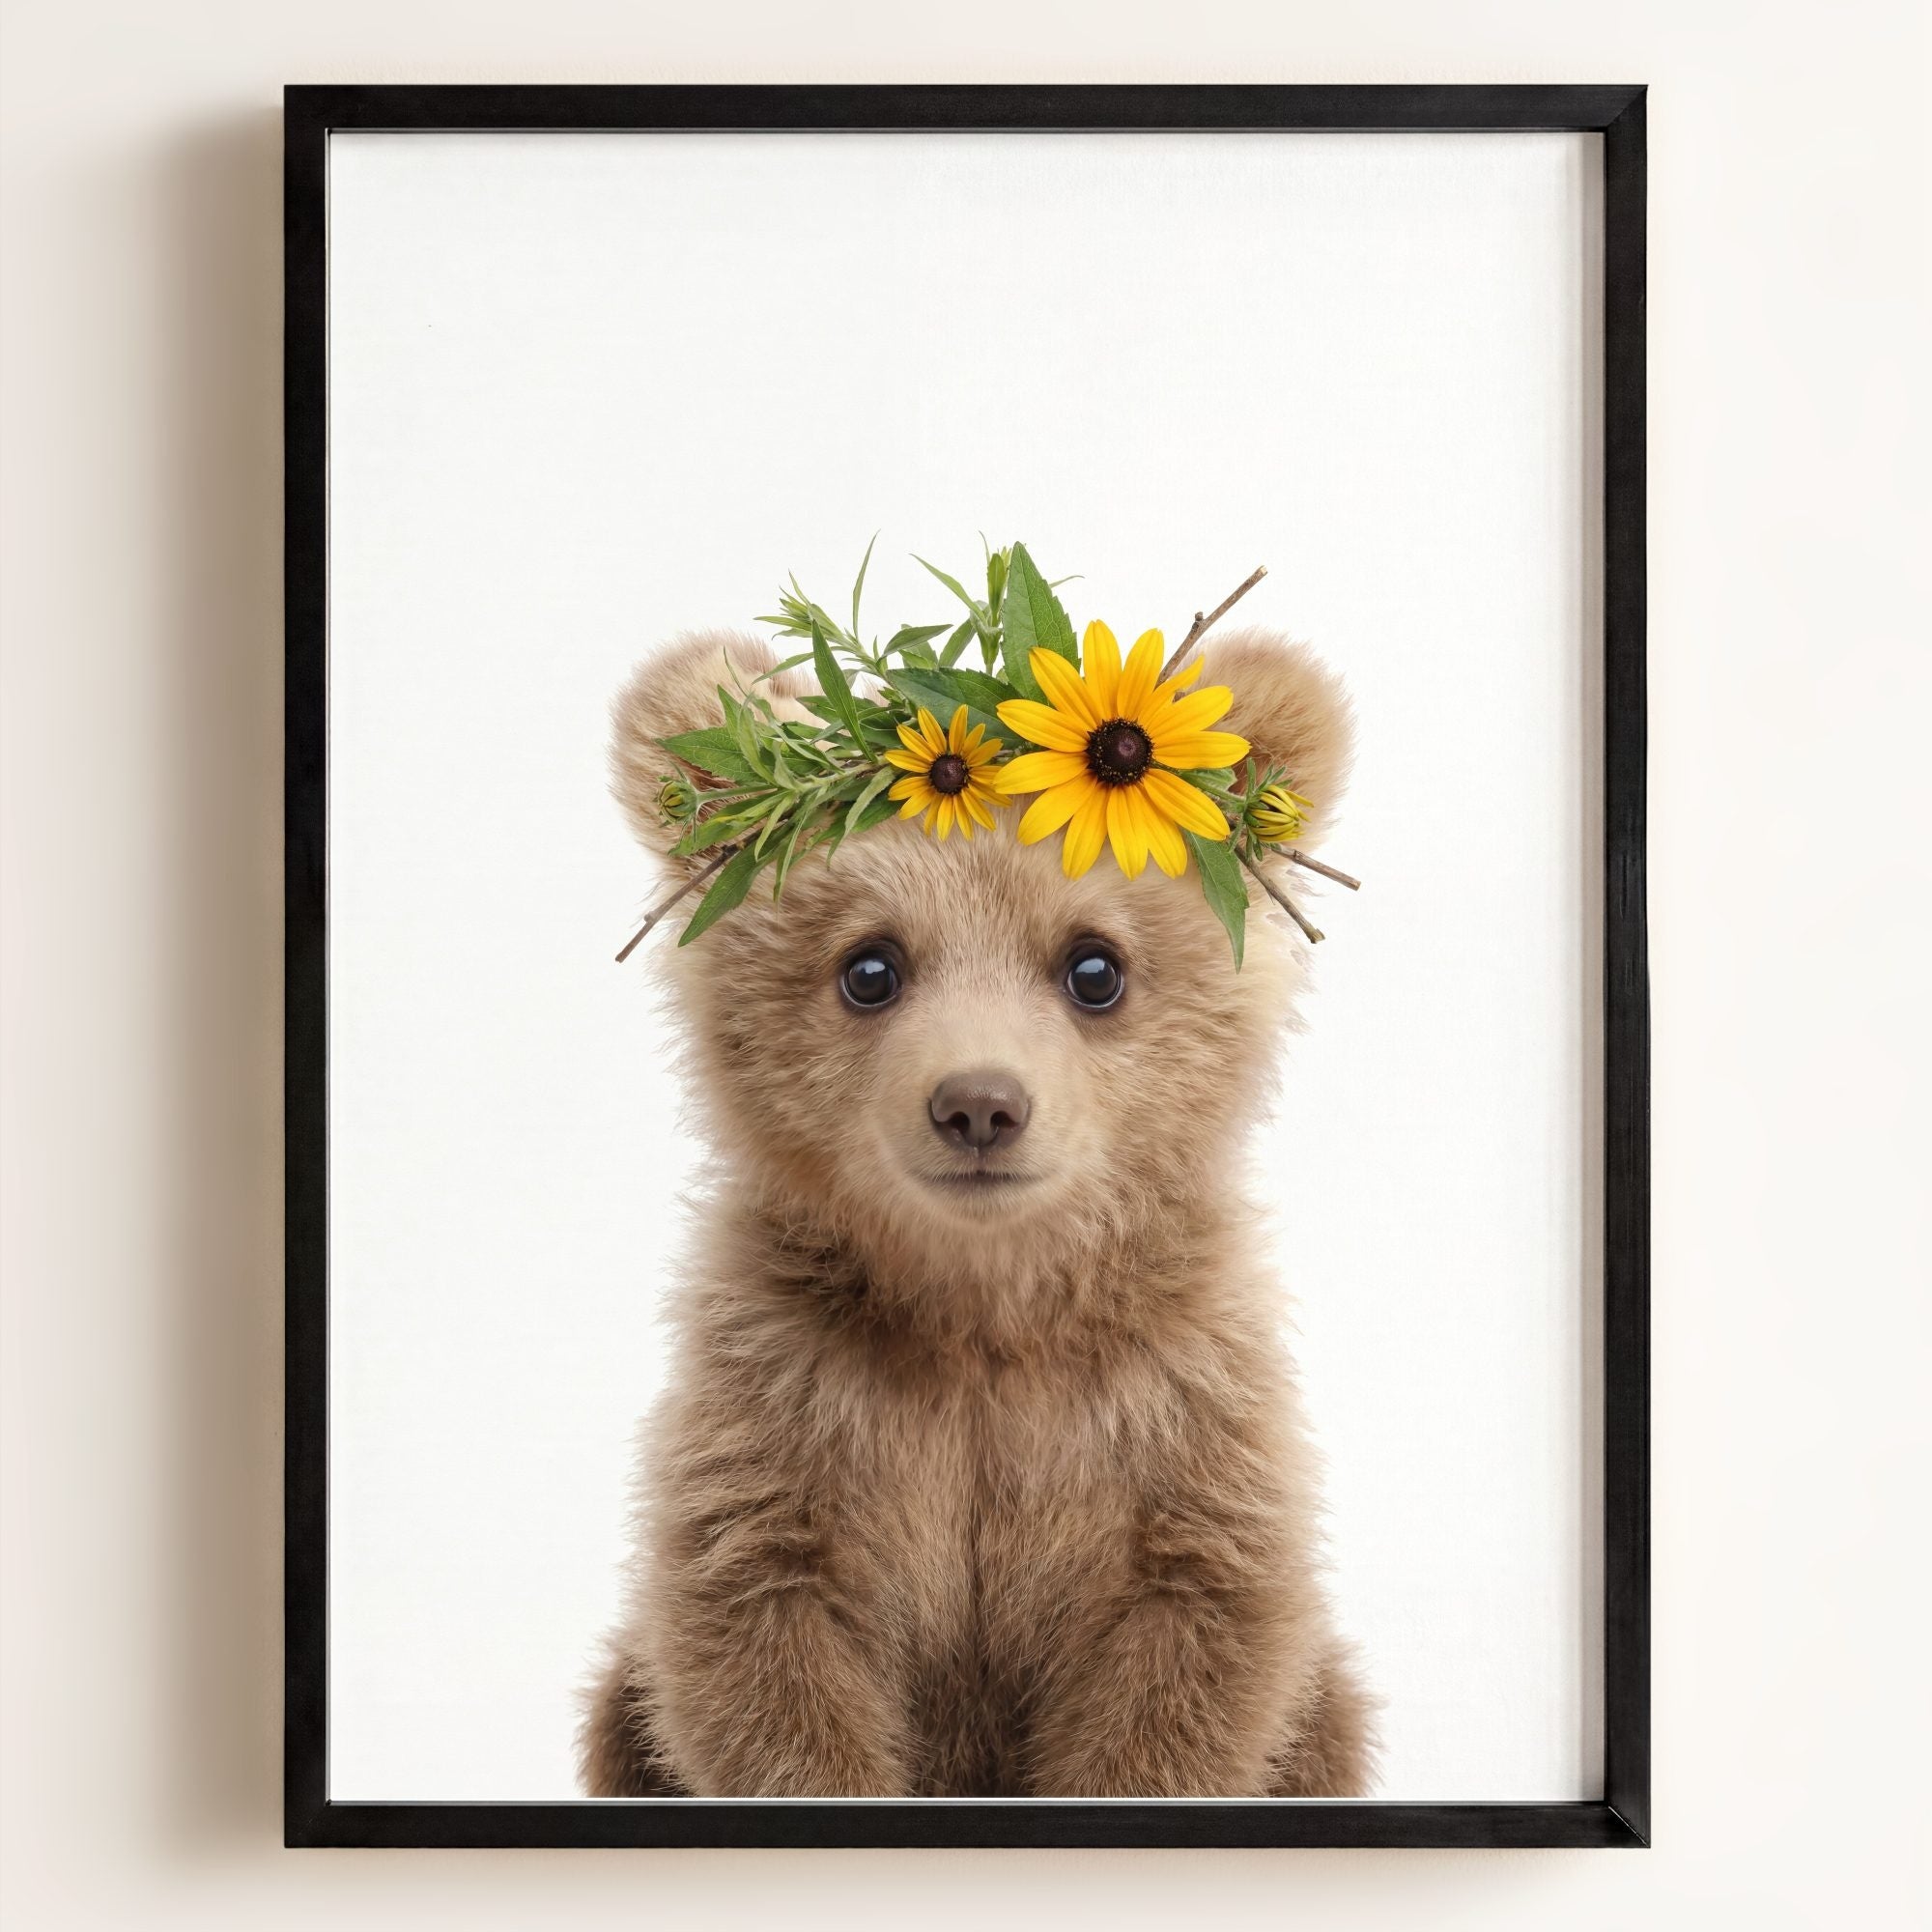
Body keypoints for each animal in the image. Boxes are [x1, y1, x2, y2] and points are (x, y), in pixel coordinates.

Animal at [580, 623, 1376, 1798]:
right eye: (869, 966)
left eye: (1094, 966)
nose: (979, 1104)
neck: (983, 1306)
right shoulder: (783, 1413)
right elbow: (764, 1657)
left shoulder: (1175, 1420)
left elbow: (1185, 1666)